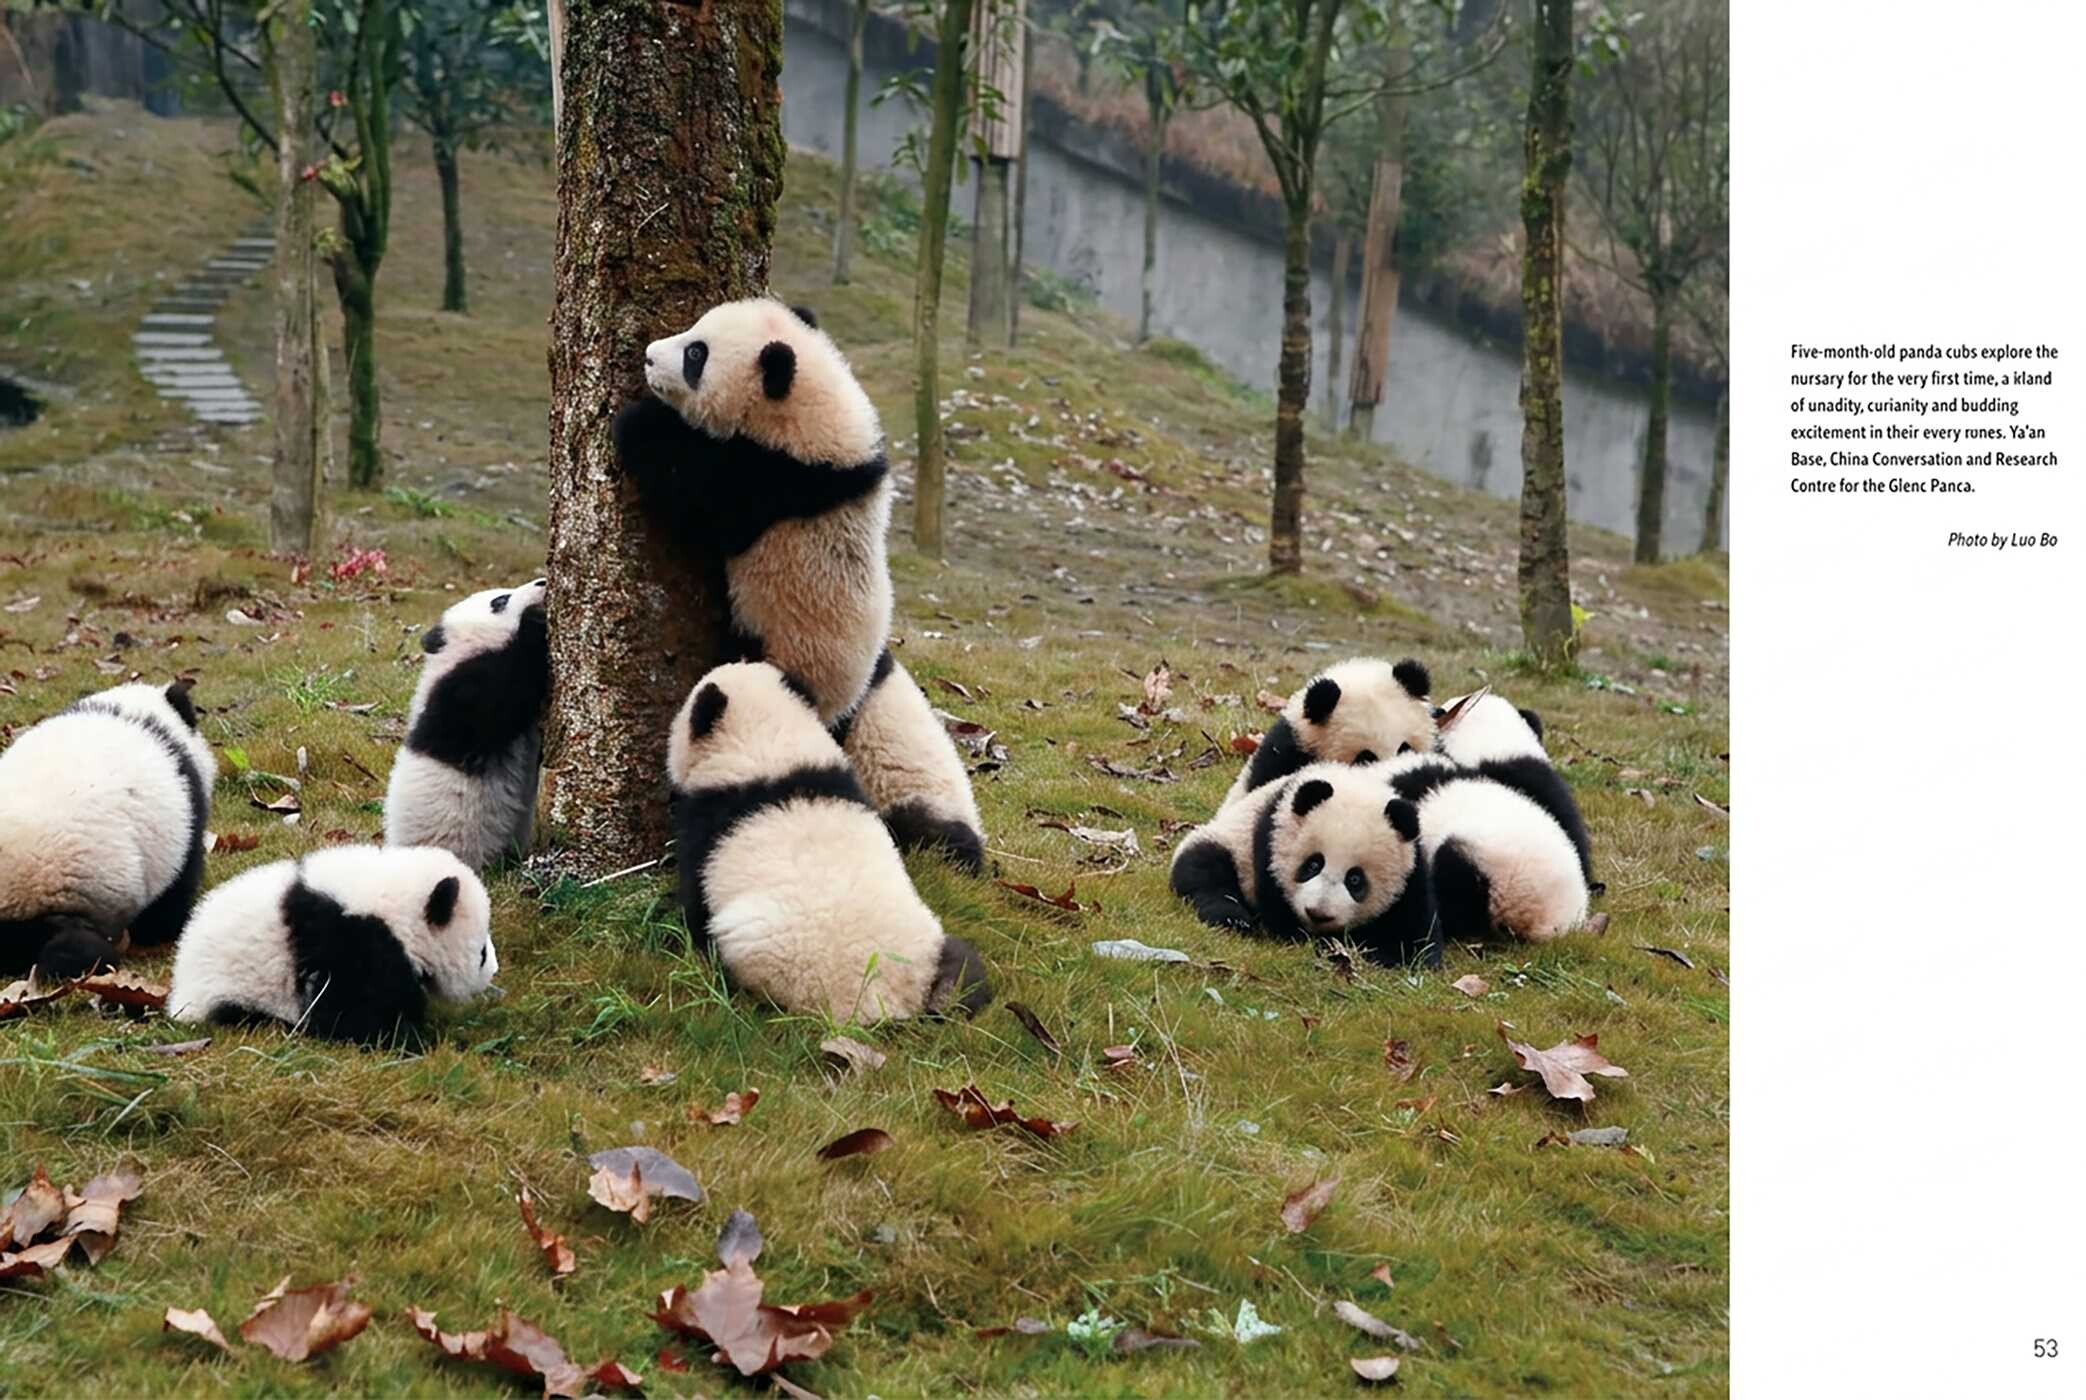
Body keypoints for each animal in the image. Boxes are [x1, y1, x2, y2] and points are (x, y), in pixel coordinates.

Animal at [166, 844, 496, 1046]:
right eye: (481, 953)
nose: (493, 971)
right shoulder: (354, 944)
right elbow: (350, 1010)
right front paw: (414, 1039)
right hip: (231, 989)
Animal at [612, 297, 985, 870]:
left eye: (696, 354)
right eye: (694, 331)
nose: (651, 356)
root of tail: (838, 708)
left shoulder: (776, 483)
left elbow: (699, 493)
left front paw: (639, 424)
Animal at [666, 660, 990, 1022]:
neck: (770, 747)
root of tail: (885, 1001)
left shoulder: (711, 825)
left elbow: (695, 899)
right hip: (929, 946)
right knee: (965, 972)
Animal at [1170, 762, 1437, 967]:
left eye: (1355, 879)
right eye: (1313, 864)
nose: (1318, 914)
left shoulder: (1412, 874)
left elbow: (1415, 938)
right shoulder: (1269, 841)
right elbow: (1281, 917)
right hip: (1230, 842)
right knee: (1206, 869)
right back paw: (1233, 919)